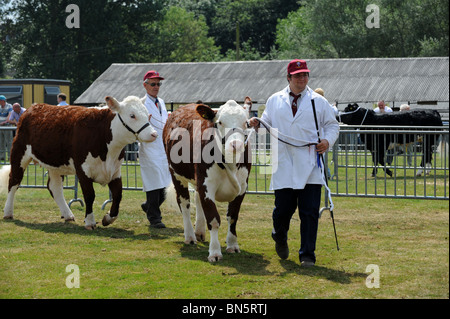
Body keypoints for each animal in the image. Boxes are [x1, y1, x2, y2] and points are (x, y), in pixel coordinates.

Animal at [1, 96, 157, 229]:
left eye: (147, 114)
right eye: (132, 115)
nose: (154, 134)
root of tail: (34, 107)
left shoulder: (115, 171)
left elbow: (118, 195)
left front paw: (108, 218)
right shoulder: (83, 170)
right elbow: (89, 195)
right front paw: (90, 222)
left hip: (55, 165)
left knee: (54, 188)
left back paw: (68, 214)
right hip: (19, 154)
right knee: (13, 182)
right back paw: (8, 212)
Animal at [163, 100, 251, 262]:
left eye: (246, 123)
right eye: (220, 122)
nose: (236, 144)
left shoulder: (242, 187)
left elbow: (233, 217)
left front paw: (232, 245)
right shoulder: (206, 186)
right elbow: (214, 219)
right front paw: (215, 252)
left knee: (197, 199)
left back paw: (199, 231)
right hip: (176, 174)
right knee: (184, 203)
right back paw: (190, 236)